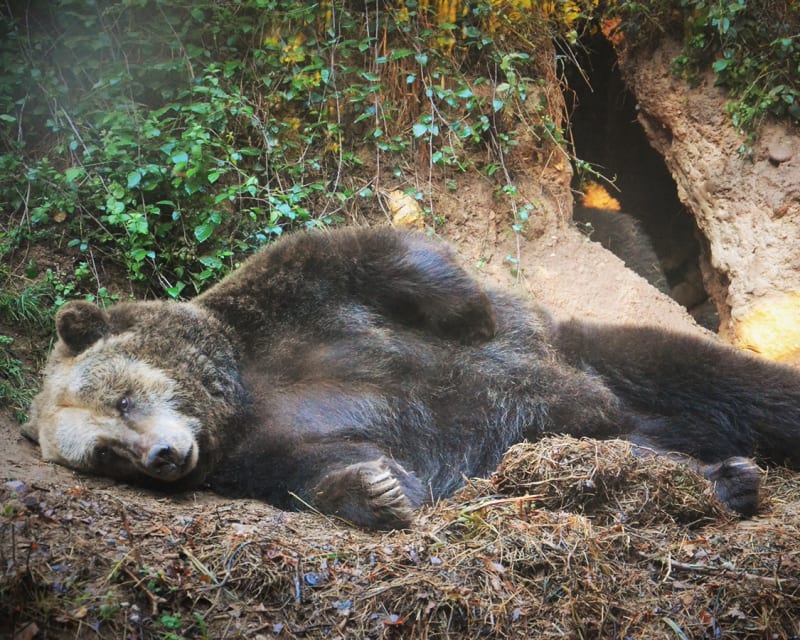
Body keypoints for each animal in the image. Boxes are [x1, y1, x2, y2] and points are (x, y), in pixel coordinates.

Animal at [21, 228, 800, 528]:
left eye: (124, 398)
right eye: (105, 457)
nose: (161, 456)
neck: (241, 392)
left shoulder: (286, 306)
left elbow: (380, 256)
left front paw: (470, 307)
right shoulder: (254, 451)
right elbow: (316, 469)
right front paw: (380, 489)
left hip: (601, 360)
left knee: (727, 382)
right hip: (549, 442)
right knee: (616, 460)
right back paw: (726, 479)